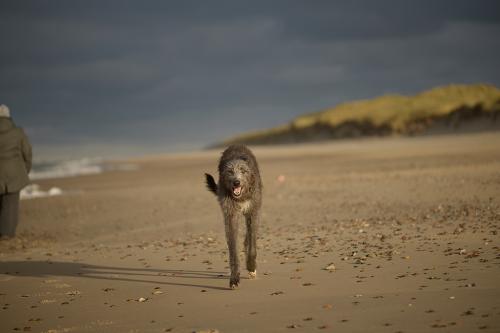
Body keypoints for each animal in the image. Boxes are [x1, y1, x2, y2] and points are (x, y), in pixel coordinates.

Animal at [205, 145, 264, 288]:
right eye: (230, 171)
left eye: (243, 171)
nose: (236, 182)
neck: (241, 197)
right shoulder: (230, 215)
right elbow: (233, 249)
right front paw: (234, 278)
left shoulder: (253, 211)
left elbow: (252, 244)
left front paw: (251, 266)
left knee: (249, 235)